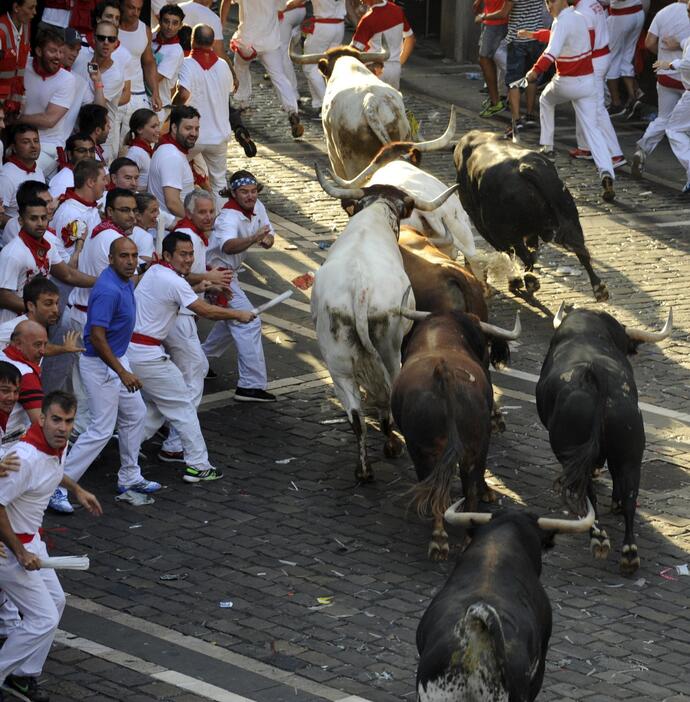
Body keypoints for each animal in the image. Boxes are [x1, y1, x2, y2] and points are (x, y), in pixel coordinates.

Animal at [310, 165, 460, 484]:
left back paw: (364, 469)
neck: (374, 215)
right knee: (387, 399)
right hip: (391, 353)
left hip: (337, 364)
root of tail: (360, 290)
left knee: (356, 416)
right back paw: (392, 446)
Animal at [388, 314, 516, 560]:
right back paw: (453, 537)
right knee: (465, 488)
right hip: (471, 444)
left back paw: (440, 538)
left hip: (423, 449)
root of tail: (443, 374)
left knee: (438, 487)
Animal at [452, 132, 608, 302]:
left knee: (524, 256)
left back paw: (529, 282)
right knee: (581, 252)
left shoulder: (487, 227)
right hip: (571, 219)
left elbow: (509, 253)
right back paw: (599, 289)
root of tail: (525, 168)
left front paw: (515, 281)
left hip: (507, 232)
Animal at [532, 306, 672, 576]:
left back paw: (598, 538)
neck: (585, 333)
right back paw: (629, 553)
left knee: (588, 495)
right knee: (629, 496)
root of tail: (593, 373)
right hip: (631, 454)